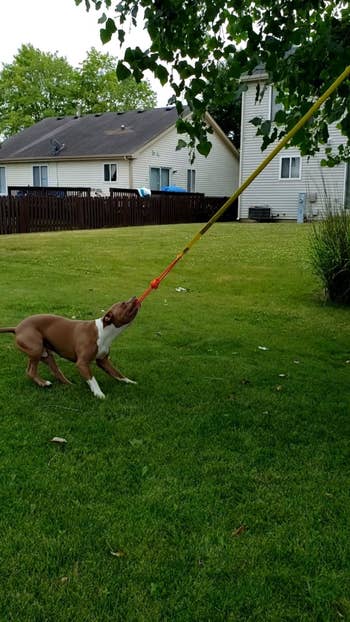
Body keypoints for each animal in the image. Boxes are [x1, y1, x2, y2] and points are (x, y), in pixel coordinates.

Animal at [0, 300, 139, 402]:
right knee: (30, 371)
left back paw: (70, 385)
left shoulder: (103, 361)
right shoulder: (82, 363)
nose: (134, 297)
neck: (104, 331)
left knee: (55, 371)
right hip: (36, 349)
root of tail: (16, 328)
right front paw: (99, 393)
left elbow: (117, 374)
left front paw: (129, 382)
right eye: (123, 303)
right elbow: (92, 379)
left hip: (46, 354)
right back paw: (44, 383)